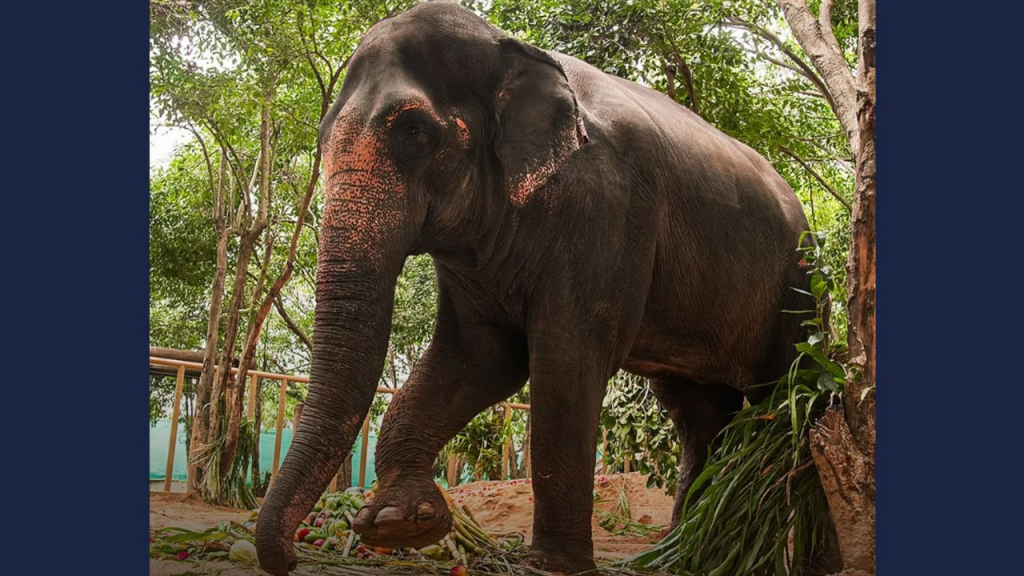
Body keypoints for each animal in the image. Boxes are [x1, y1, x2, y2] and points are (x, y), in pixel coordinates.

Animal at [256, 2, 815, 575]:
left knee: (785, 400)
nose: (290, 558)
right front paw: (401, 523)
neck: (512, 50)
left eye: (414, 132)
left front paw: (550, 566)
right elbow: (479, 358)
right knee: (699, 417)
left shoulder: (608, 204)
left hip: (799, 290)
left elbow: (565, 361)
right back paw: (680, 557)